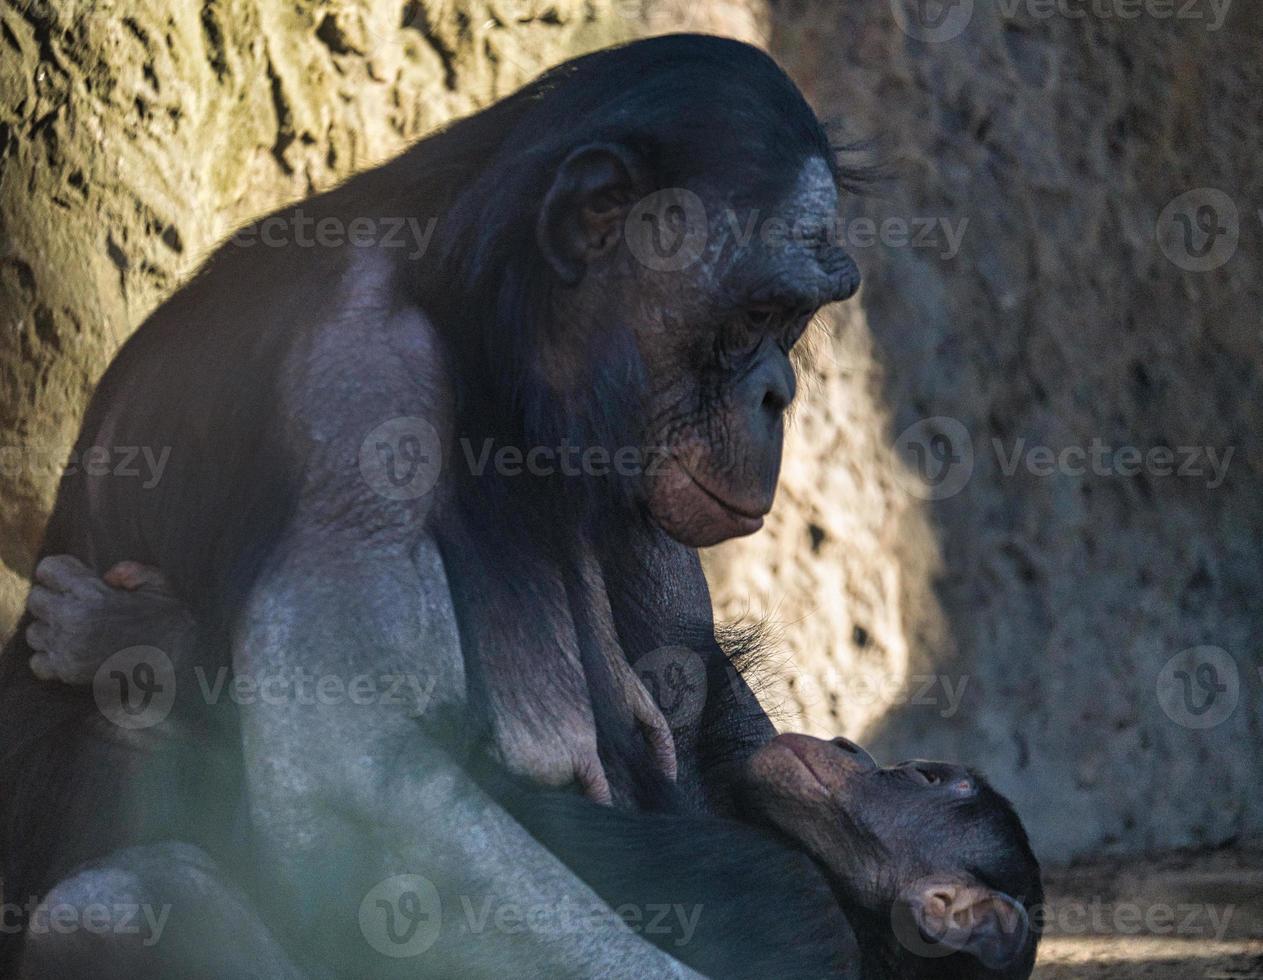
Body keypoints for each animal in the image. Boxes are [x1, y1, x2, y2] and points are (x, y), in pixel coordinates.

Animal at [0, 32, 863, 980]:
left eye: (793, 321)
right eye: (756, 313)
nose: (777, 393)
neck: (489, 342)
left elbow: (715, 724)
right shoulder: (359, 383)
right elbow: (371, 798)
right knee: (132, 899)